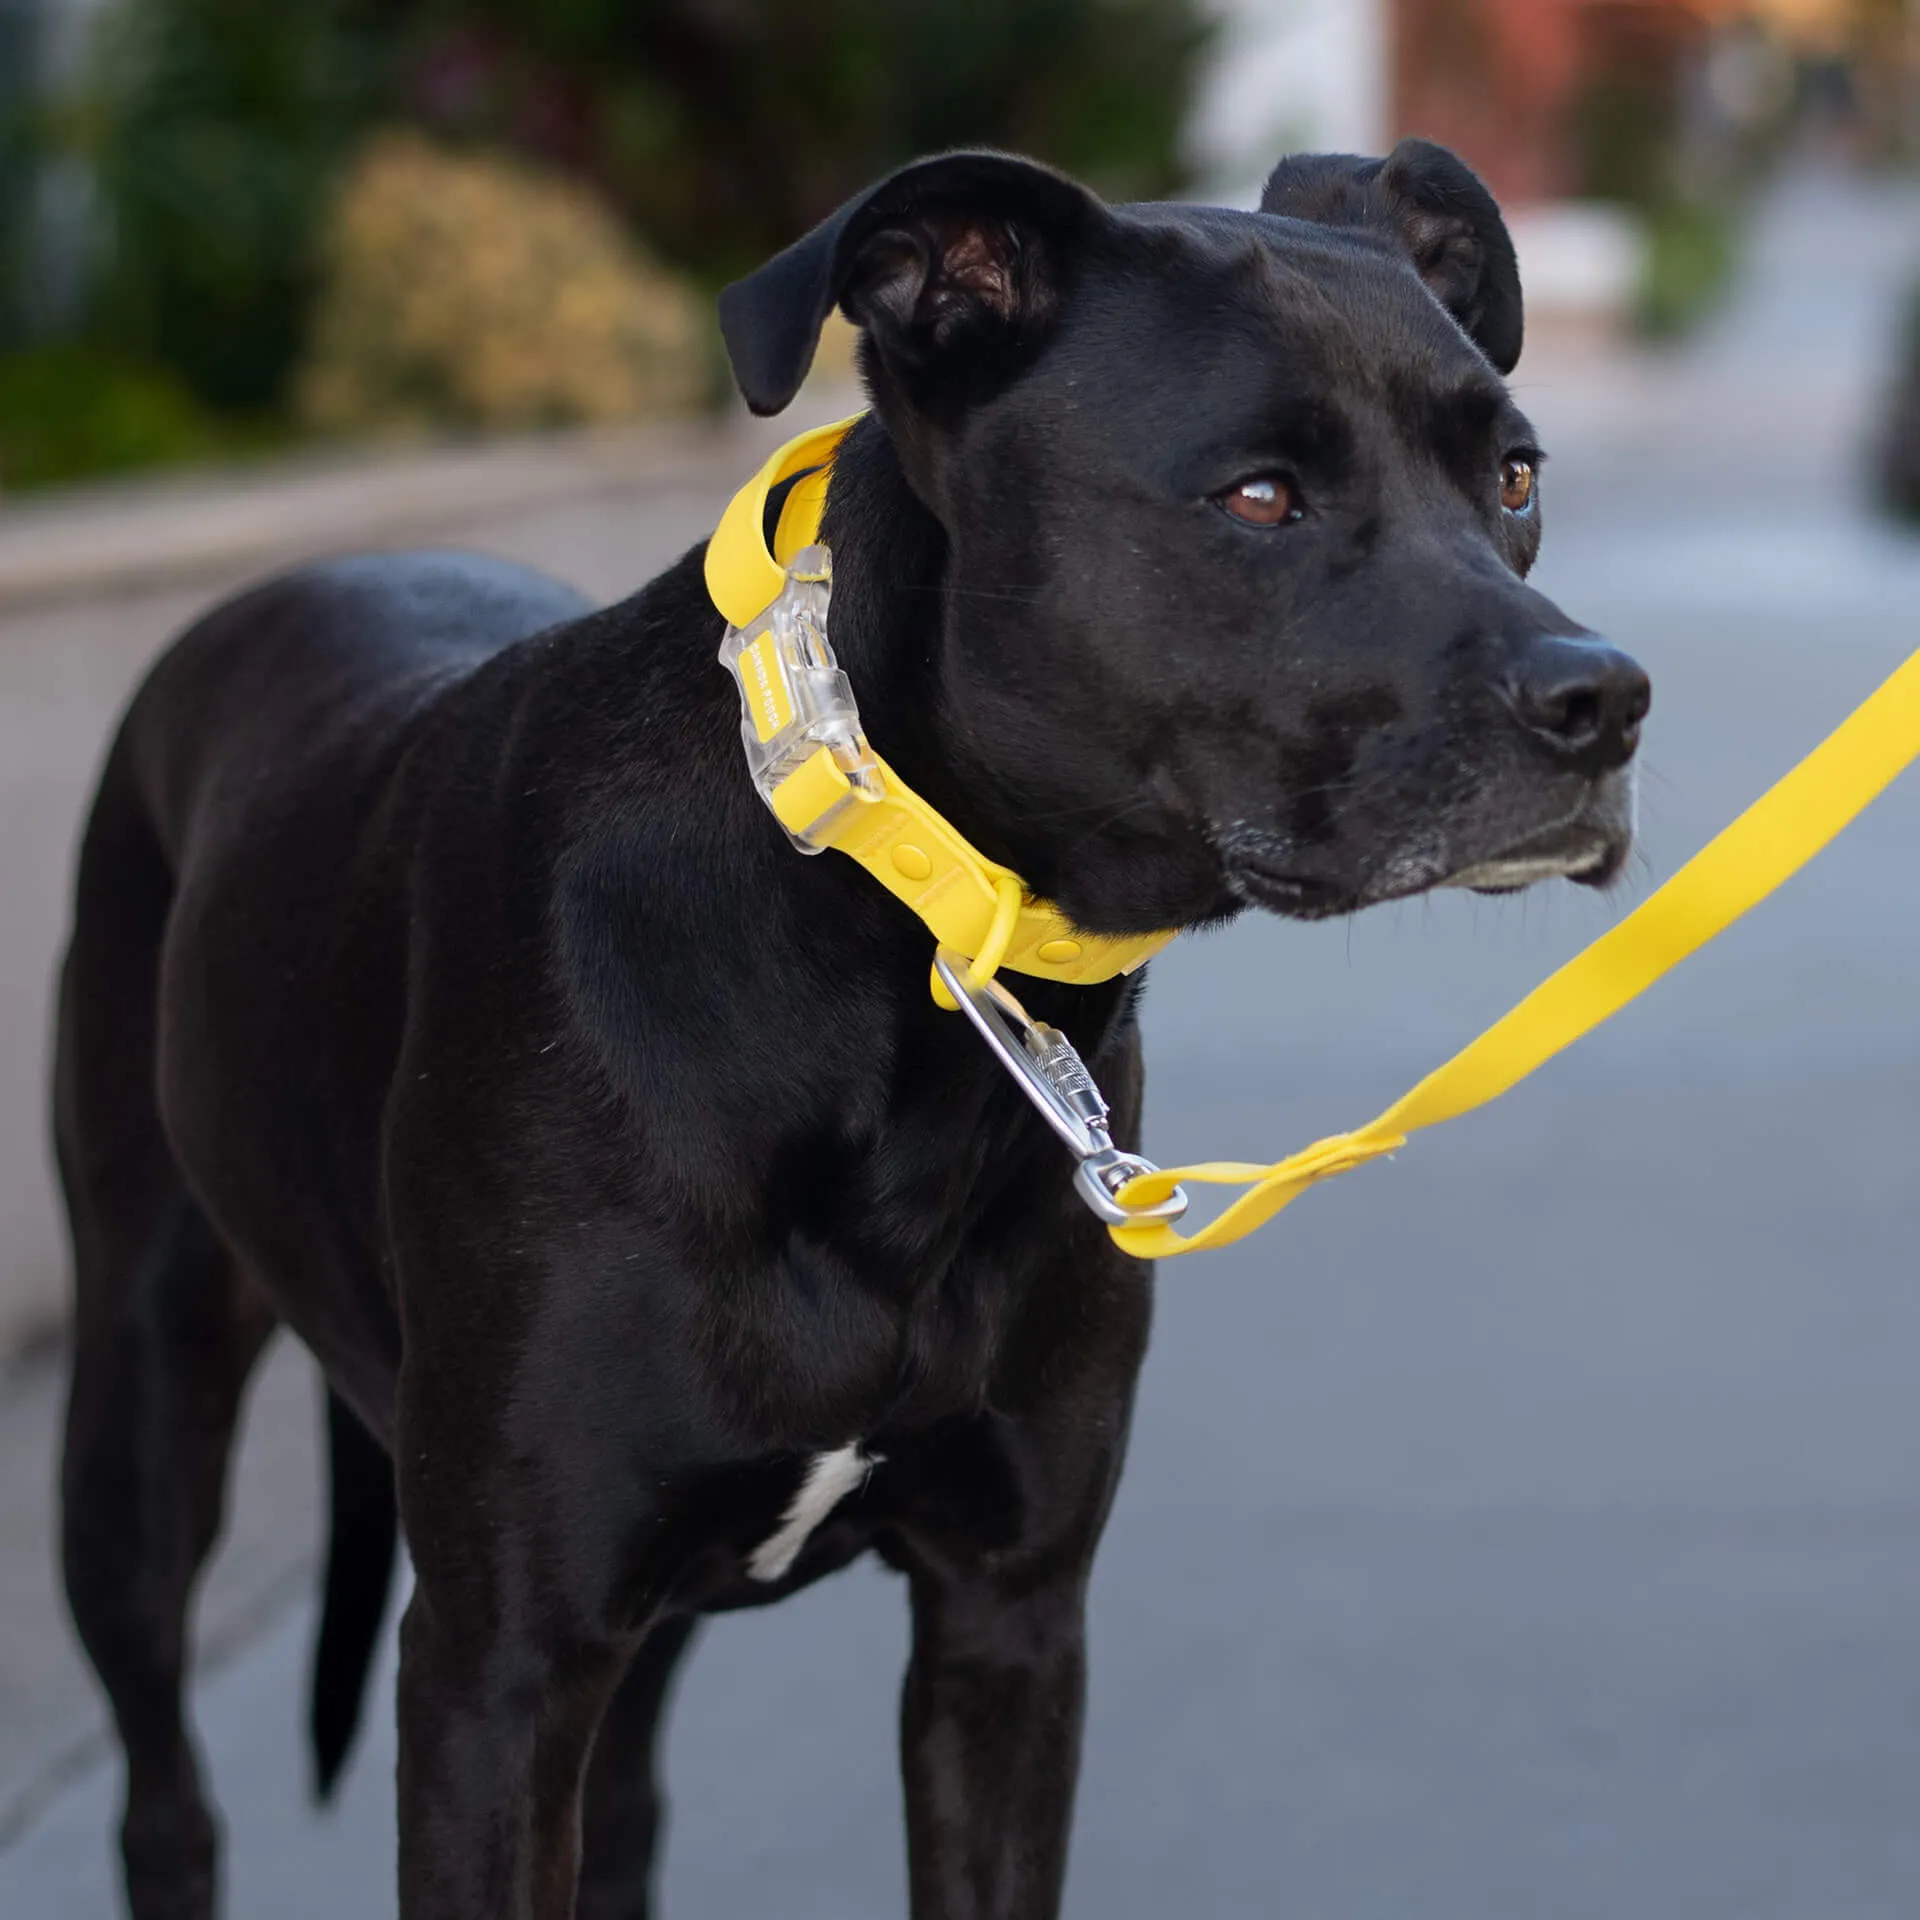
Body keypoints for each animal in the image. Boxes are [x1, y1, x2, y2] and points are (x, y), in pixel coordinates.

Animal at [60, 142, 1651, 1912]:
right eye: (1258, 497)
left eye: (1512, 475)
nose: (1603, 703)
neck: (909, 964)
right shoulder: (497, 1667)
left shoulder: (1007, 1616)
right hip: (138, 1407)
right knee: (163, 1793)